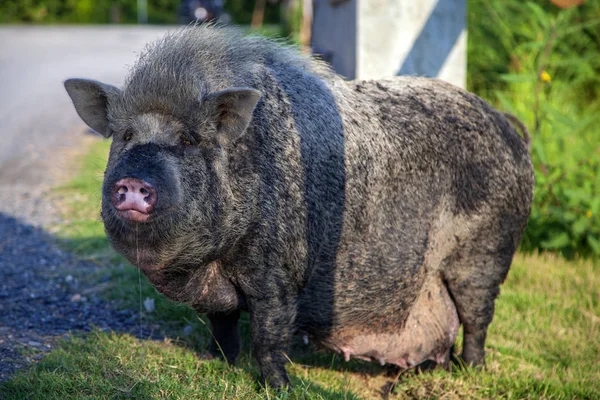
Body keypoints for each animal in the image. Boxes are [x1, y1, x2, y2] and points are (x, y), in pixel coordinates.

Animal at [64, 25, 536, 390]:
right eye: (125, 136)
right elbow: (222, 326)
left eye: (187, 139)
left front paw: (279, 388)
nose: (133, 183)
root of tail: (507, 127)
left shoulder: (278, 271)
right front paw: (217, 364)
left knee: (478, 318)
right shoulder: (217, 294)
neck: (206, 264)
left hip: (487, 252)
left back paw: (470, 371)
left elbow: (269, 335)